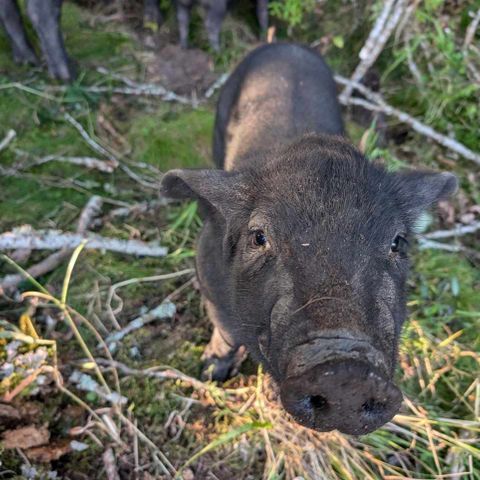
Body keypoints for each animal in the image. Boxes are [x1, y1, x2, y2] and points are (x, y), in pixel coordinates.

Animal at [159, 44, 456, 436]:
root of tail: (285, 45)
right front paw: (210, 373)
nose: (345, 370)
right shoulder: (206, 269)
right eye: (259, 237)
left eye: (397, 242)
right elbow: (225, 329)